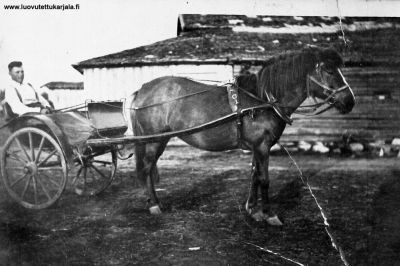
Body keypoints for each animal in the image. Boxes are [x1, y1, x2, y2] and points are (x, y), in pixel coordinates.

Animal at [130, 45, 354, 224]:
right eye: (328, 70)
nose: (350, 101)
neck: (263, 101)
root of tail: (142, 90)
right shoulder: (262, 146)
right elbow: (264, 179)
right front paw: (269, 214)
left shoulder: (257, 147)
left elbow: (254, 175)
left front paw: (253, 209)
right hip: (154, 141)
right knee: (146, 169)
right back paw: (154, 205)